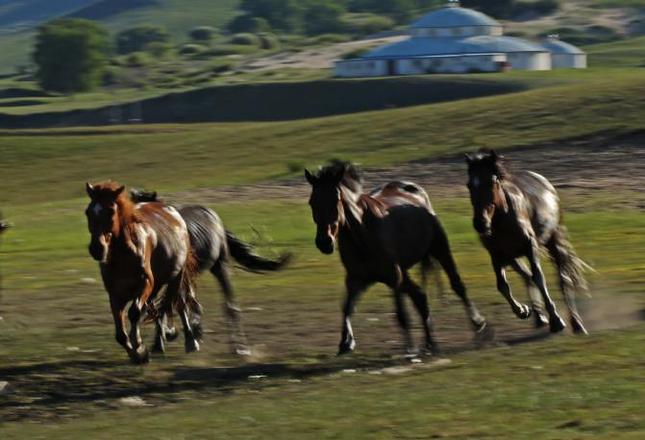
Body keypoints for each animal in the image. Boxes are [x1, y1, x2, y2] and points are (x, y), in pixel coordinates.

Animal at [84, 180, 199, 362]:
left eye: (110, 210)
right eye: (88, 211)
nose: (97, 249)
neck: (123, 255)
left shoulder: (145, 283)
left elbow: (135, 312)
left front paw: (139, 346)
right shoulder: (115, 293)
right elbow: (120, 333)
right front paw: (136, 354)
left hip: (176, 278)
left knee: (178, 305)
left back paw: (189, 341)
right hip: (157, 285)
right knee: (159, 309)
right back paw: (159, 343)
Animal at [130, 187, 290, 356]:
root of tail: (214, 217)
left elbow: (175, 305)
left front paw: (184, 339)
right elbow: (162, 305)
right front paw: (163, 339)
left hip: (220, 266)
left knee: (229, 304)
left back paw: (239, 347)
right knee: (191, 302)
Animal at [304, 160, 486, 356]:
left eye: (336, 199)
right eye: (312, 202)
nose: (324, 242)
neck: (363, 234)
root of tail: (417, 192)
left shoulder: (394, 276)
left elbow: (401, 315)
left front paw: (410, 349)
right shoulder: (356, 279)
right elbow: (347, 307)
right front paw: (346, 343)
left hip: (440, 250)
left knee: (457, 286)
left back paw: (479, 327)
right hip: (405, 271)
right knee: (421, 297)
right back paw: (431, 344)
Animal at [462, 149, 588, 334]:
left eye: (491, 182)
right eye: (470, 185)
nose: (480, 223)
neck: (502, 219)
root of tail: (544, 182)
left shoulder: (530, 247)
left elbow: (539, 278)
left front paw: (556, 320)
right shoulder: (496, 254)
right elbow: (502, 285)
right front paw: (523, 310)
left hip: (553, 241)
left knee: (563, 279)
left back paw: (577, 323)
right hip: (512, 257)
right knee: (526, 276)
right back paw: (539, 317)